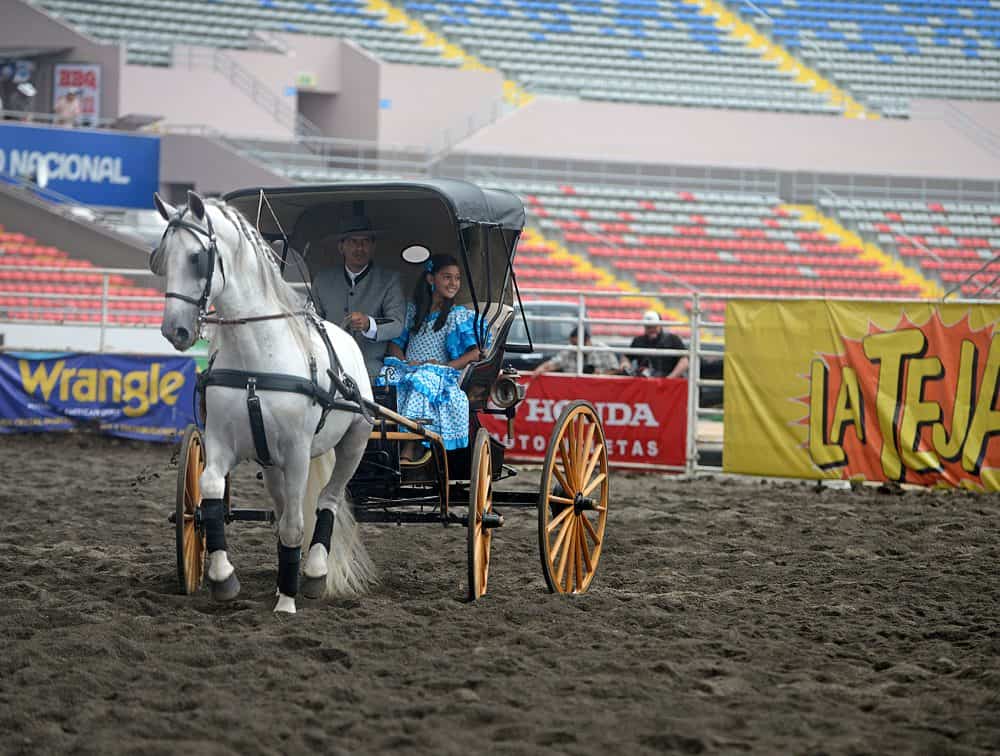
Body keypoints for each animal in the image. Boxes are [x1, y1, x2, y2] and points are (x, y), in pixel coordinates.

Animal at [152, 189, 376, 616]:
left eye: (197, 257)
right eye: (159, 257)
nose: (175, 330)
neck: (256, 362)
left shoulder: (298, 452)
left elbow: (295, 524)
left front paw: (287, 601)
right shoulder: (221, 441)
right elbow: (210, 491)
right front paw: (223, 578)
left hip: (354, 442)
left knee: (327, 500)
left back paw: (313, 573)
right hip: (271, 464)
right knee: (286, 507)